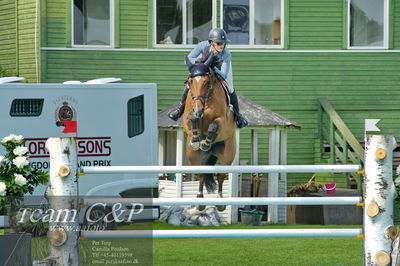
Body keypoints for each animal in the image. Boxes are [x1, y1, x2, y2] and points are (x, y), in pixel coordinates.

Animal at [182, 54, 236, 212]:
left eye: (207, 82)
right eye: (190, 82)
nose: (198, 109)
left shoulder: (222, 121)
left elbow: (214, 126)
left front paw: (205, 142)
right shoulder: (187, 117)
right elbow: (191, 119)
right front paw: (196, 140)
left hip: (226, 156)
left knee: (221, 176)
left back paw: (220, 202)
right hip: (193, 157)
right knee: (201, 174)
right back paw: (200, 200)